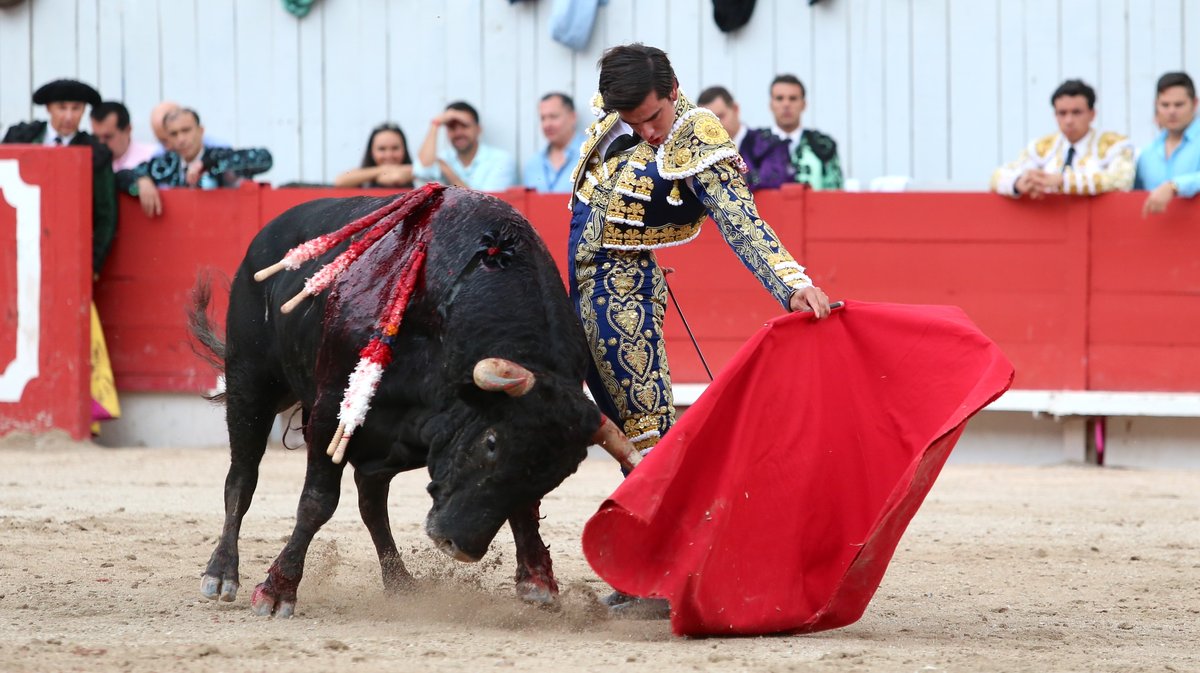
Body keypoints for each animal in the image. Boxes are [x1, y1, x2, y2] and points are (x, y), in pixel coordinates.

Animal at [189, 184, 638, 614]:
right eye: (491, 442)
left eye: (557, 475)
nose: (460, 546)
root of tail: (266, 237)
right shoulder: (332, 409)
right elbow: (318, 502)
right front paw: (277, 591)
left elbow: (522, 508)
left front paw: (537, 581)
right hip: (250, 380)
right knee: (242, 477)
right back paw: (221, 575)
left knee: (371, 502)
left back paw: (400, 581)